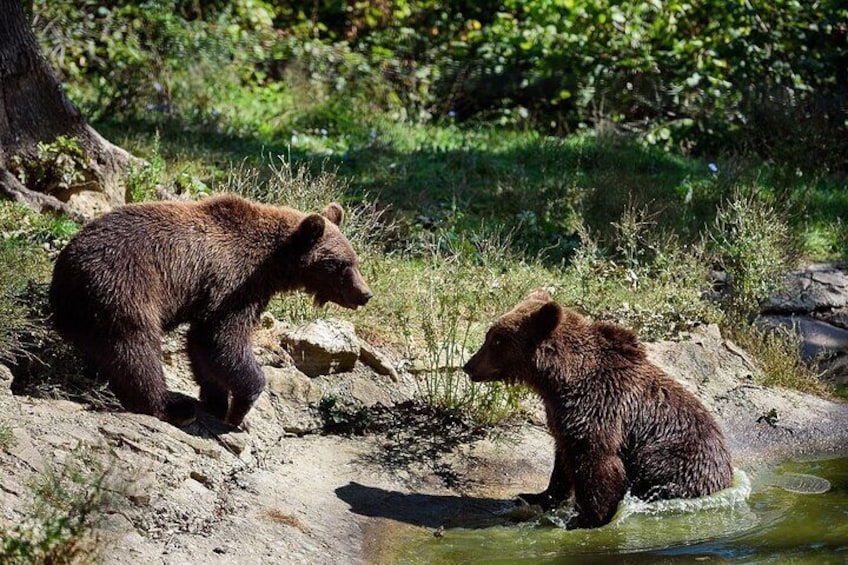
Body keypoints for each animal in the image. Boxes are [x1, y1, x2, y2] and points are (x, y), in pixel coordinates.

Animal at [48, 194, 372, 428]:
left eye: (355, 260)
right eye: (342, 265)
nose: (365, 294)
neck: (273, 265)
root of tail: (64, 270)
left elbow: (203, 347)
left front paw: (216, 400)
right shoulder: (233, 284)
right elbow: (220, 339)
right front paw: (239, 409)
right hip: (125, 286)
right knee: (136, 348)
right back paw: (170, 407)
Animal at [460, 290, 732, 528]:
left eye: (496, 340)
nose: (468, 365)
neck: (559, 379)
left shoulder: (600, 406)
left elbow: (598, 462)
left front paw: (587, 518)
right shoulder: (561, 414)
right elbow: (563, 457)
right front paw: (536, 495)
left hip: (675, 461)